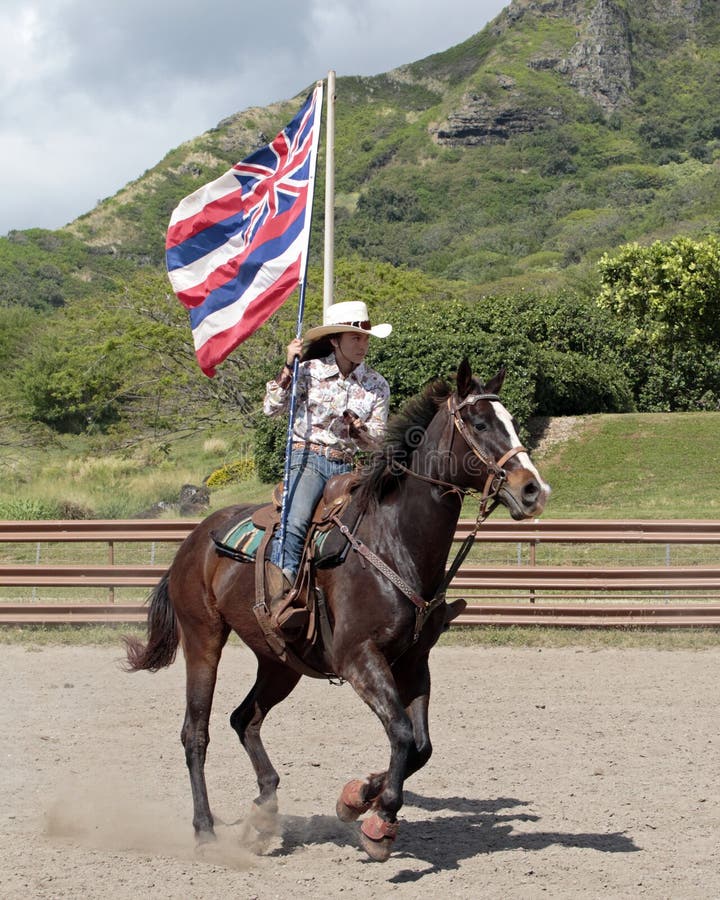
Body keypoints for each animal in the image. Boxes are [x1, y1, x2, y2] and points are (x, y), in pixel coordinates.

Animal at [125, 358, 552, 856]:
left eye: (512, 421)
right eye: (481, 424)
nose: (533, 490)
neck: (392, 540)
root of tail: (192, 541)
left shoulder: (414, 662)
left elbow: (420, 745)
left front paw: (358, 797)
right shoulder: (358, 658)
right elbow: (402, 734)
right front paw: (377, 819)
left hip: (279, 662)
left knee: (244, 719)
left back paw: (263, 814)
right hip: (203, 638)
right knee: (196, 732)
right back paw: (206, 831)